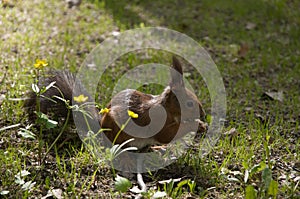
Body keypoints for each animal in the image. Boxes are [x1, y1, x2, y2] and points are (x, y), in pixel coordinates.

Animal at [26, 56, 206, 148]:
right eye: (189, 104)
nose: (203, 114)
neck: (167, 108)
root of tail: (100, 126)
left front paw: (201, 125)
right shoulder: (157, 121)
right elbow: (167, 135)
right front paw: (196, 125)